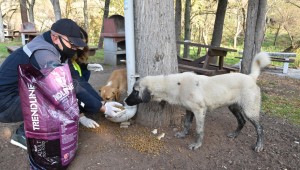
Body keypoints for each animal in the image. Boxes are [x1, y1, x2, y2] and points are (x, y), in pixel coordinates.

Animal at [125, 52, 270, 152]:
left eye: (135, 91)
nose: (125, 101)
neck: (174, 85)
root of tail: (251, 77)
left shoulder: (199, 111)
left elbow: (199, 130)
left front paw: (197, 144)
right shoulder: (189, 110)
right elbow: (186, 124)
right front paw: (183, 134)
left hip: (250, 111)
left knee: (260, 128)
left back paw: (259, 145)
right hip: (233, 107)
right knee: (242, 121)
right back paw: (234, 134)